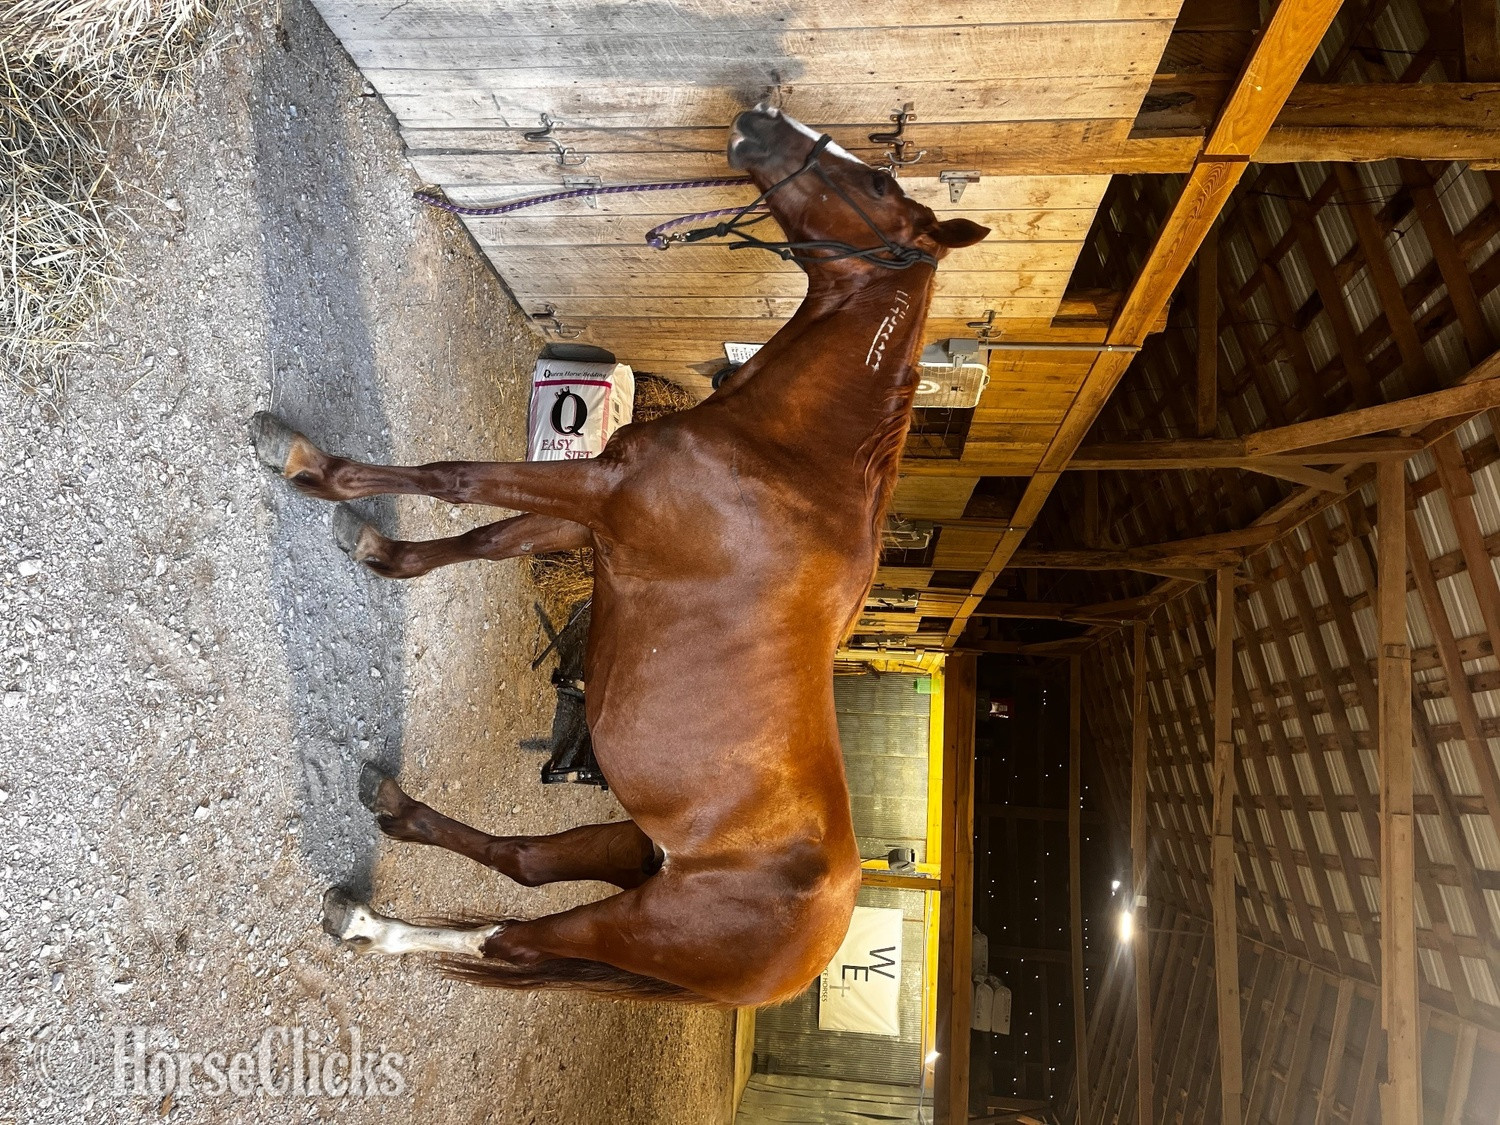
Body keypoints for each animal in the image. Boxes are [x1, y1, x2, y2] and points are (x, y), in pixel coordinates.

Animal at [250, 104, 988, 1007]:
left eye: (879, 183)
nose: (758, 117)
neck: (790, 462)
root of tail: (806, 950)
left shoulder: (597, 495)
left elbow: (454, 477)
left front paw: (307, 465)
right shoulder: (592, 524)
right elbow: (482, 539)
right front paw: (374, 545)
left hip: (630, 922)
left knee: (511, 941)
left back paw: (366, 922)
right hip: (633, 848)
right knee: (525, 863)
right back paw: (392, 810)